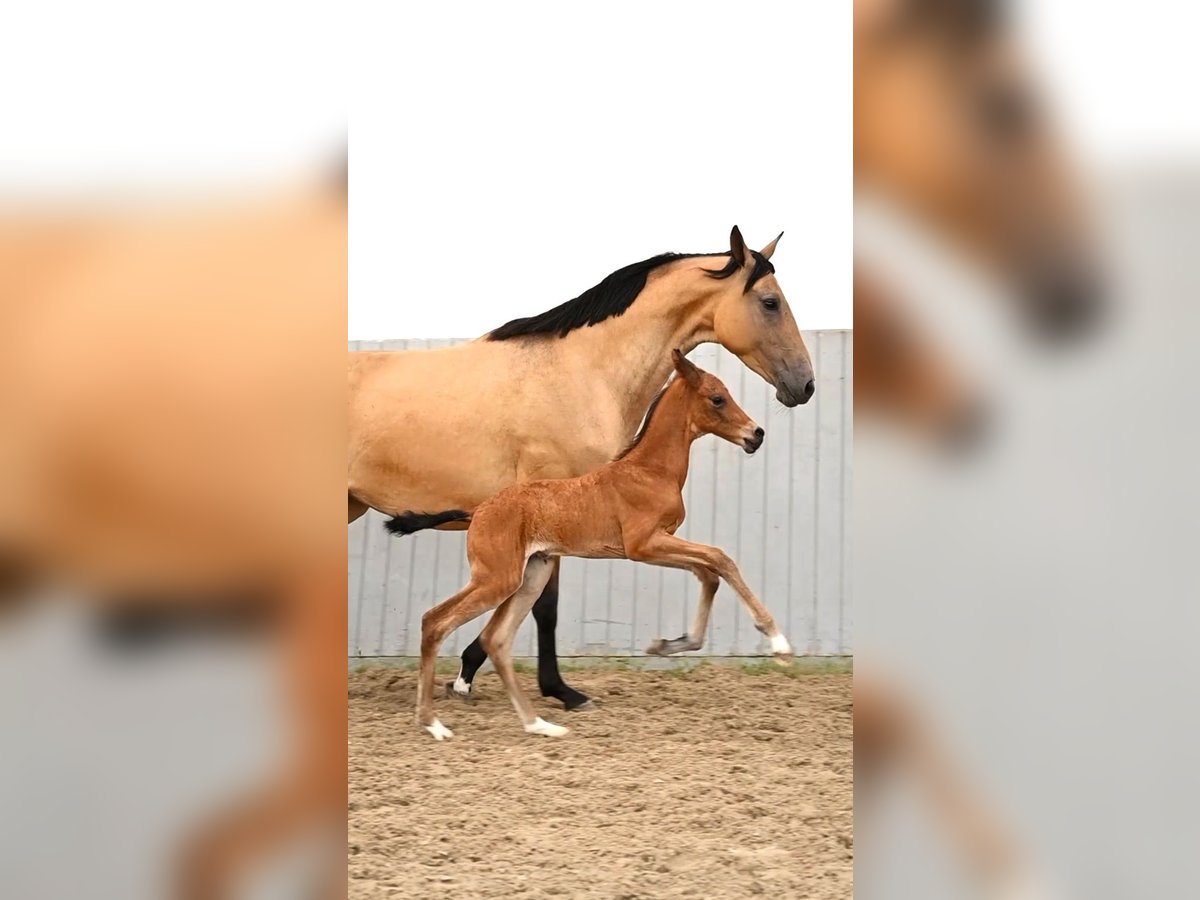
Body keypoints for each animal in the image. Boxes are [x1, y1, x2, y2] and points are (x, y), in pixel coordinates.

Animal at [405, 352, 796, 739]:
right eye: (717, 398)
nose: (756, 434)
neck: (650, 471)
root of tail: (478, 511)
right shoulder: (644, 544)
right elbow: (721, 559)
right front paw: (778, 642)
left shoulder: (656, 545)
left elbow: (709, 573)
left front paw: (670, 644)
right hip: (496, 579)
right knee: (435, 621)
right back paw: (434, 724)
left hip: (532, 574)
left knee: (496, 640)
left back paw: (539, 725)